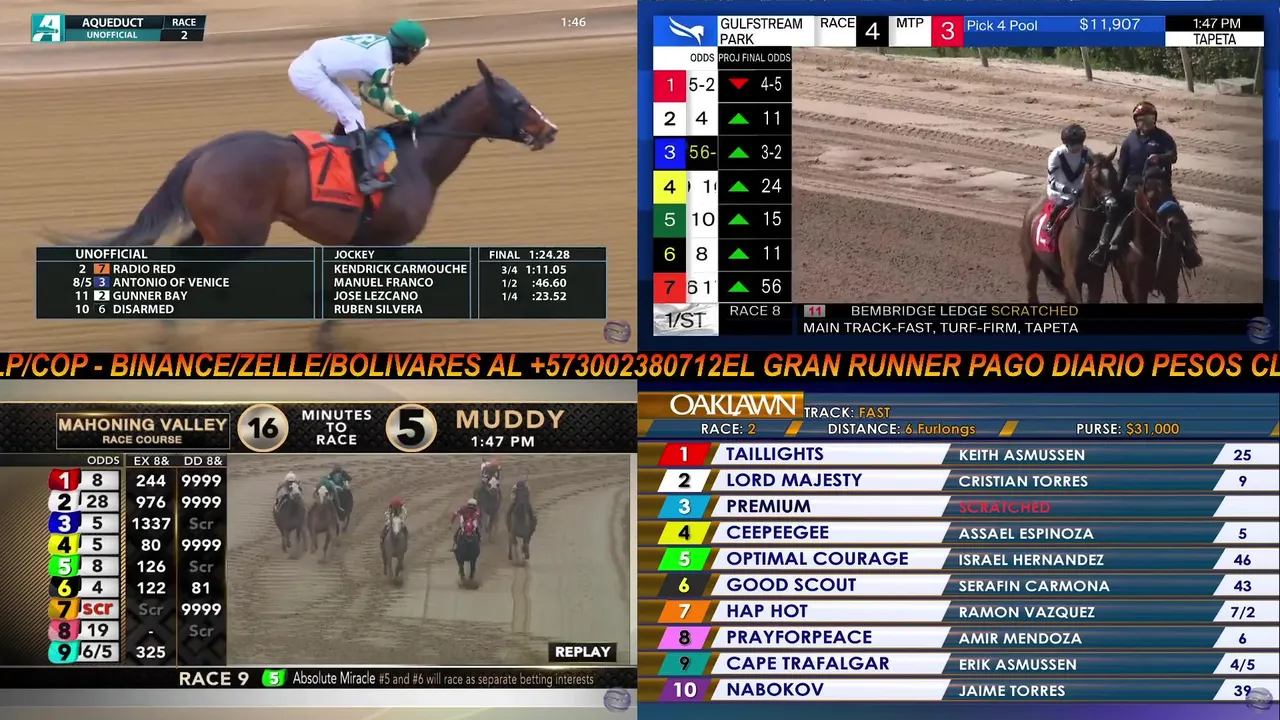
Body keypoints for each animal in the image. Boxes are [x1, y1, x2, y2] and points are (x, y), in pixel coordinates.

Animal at [50, 59, 559, 351]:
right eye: (519, 102)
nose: (550, 129)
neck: (418, 160)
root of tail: (205, 152)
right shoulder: (386, 244)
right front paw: (327, 340)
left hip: (210, 228)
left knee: (179, 260)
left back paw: (169, 331)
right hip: (238, 238)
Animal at [1019, 148, 1118, 304]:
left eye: (1115, 175)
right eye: (1096, 178)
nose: (1112, 206)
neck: (1086, 231)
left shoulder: (1096, 280)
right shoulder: (1072, 279)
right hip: (1031, 262)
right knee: (1031, 291)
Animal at [1113, 167, 1192, 304]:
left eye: (1170, 192)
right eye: (1151, 197)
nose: (1176, 223)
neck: (1150, 250)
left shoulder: (1171, 288)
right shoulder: (1139, 289)